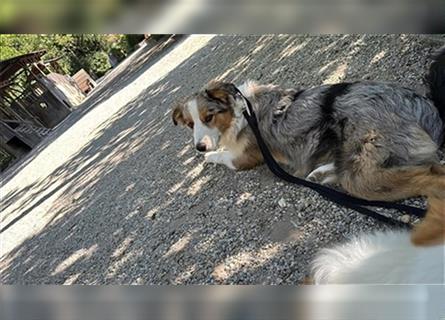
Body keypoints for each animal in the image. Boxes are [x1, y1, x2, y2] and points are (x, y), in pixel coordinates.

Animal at [173, 46, 444, 245]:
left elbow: (221, 155)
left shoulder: (243, 158)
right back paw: (320, 173)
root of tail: (424, 107)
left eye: (208, 117)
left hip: (362, 174)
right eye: (190, 123)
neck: (241, 112)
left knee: (433, 176)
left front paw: (207, 157)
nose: (199, 147)